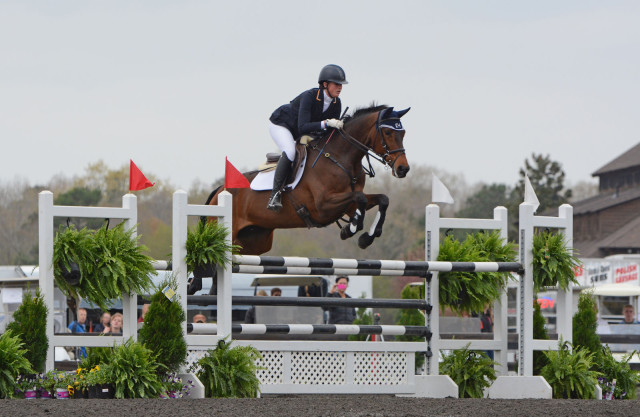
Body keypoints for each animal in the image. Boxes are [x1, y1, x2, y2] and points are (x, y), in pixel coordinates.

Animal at [205, 103, 410, 256]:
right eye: (388, 133)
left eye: (403, 133)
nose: (403, 169)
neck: (341, 158)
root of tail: (219, 190)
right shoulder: (323, 206)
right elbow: (360, 199)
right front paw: (350, 229)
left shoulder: (348, 203)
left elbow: (381, 199)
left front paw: (366, 237)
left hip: (254, 241)